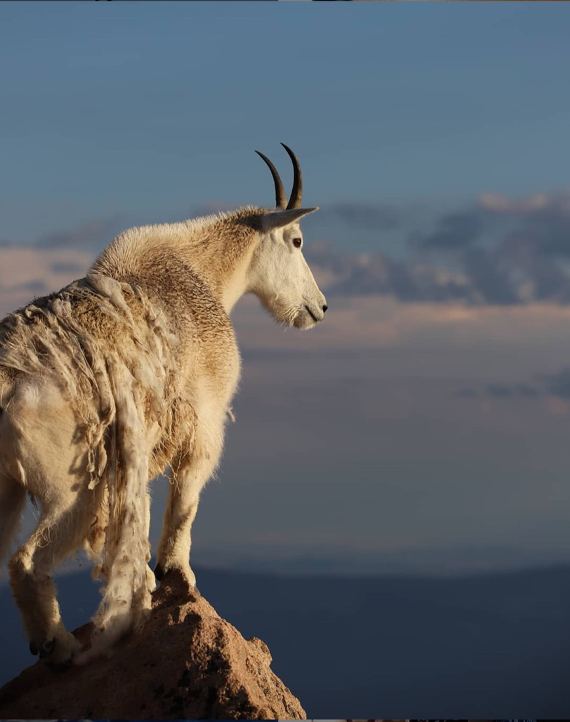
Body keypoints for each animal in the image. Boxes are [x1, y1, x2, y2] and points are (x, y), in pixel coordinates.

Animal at [0, 145, 324, 664]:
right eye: (296, 240)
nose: (319, 307)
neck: (201, 272)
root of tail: (7, 381)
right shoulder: (205, 418)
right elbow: (186, 497)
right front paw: (175, 573)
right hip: (75, 486)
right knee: (26, 561)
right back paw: (63, 647)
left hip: (6, 486)